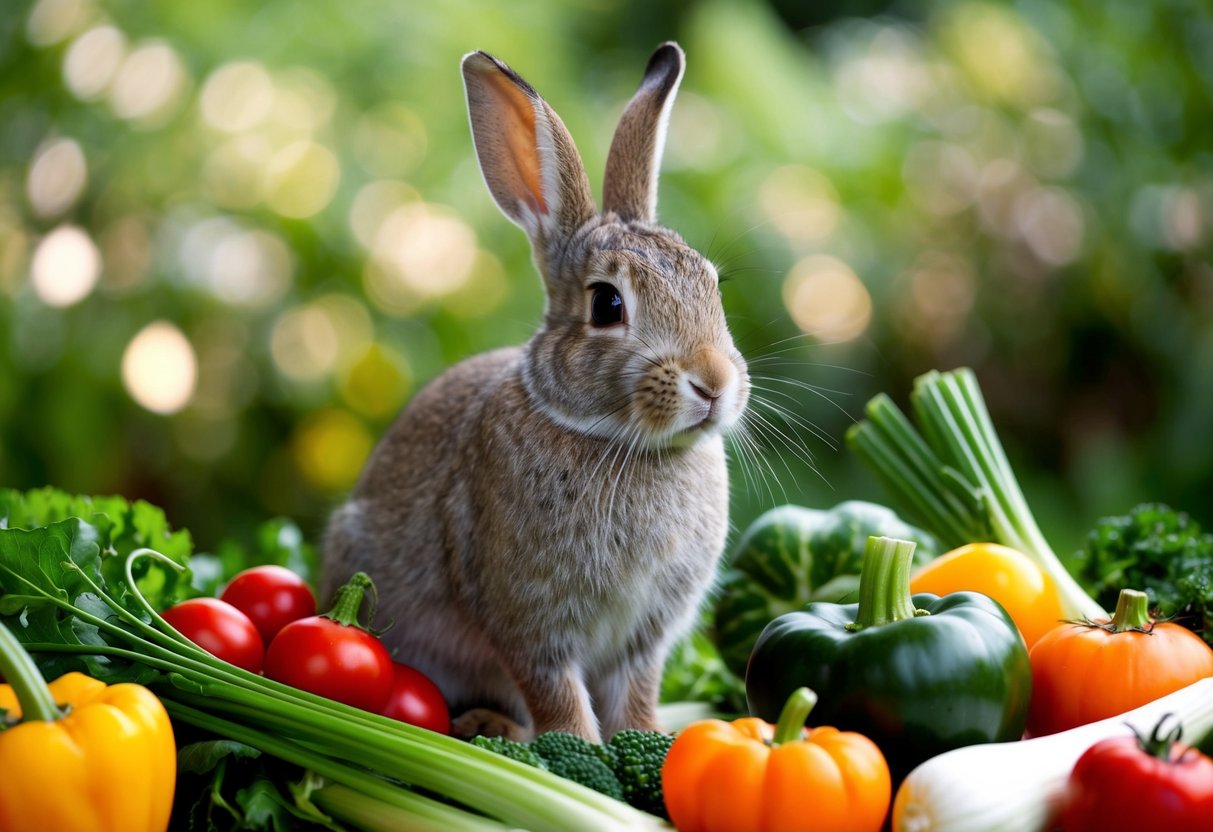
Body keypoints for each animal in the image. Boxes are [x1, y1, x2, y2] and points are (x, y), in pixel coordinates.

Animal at [322, 42, 750, 743]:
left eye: (711, 284)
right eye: (607, 304)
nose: (713, 383)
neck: (616, 439)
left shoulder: (643, 639)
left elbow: (635, 698)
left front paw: (649, 742)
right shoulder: (529, 623)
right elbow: (558, 699)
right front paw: (584, 753)